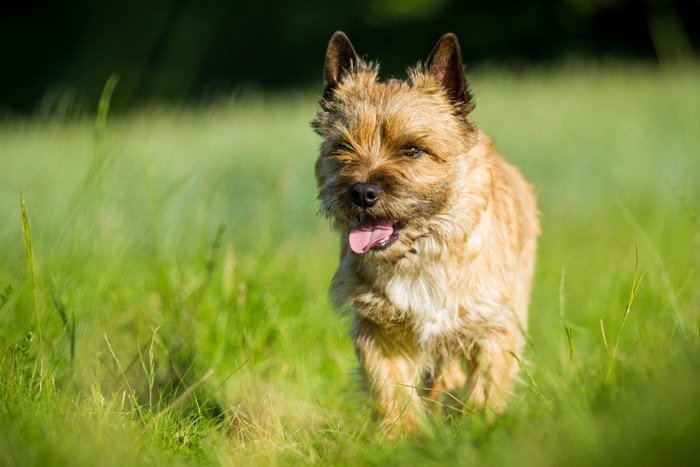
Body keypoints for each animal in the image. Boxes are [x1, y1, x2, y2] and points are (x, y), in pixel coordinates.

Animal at [314, 32, 540, 436]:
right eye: (343, 147)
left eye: (413, 150)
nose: (362, 192)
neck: (421, 252)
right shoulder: (378, 329)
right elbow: (389, 387)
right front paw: (404, 437)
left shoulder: (493, 326)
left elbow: (485, 384)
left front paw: (478, 430)